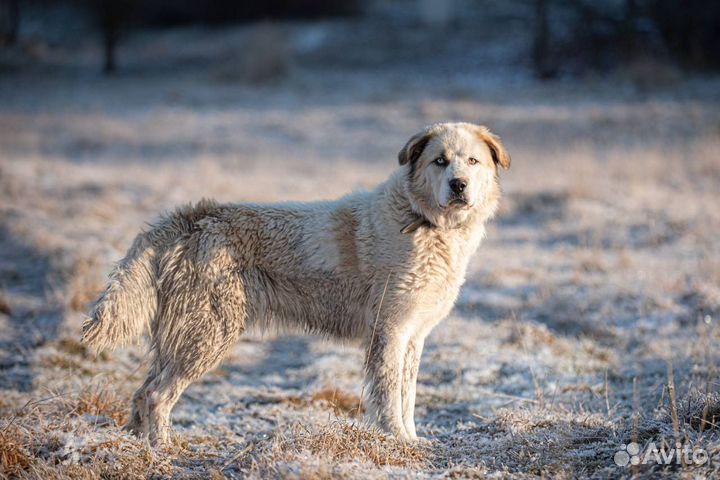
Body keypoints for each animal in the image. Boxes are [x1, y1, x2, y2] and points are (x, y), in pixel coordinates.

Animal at [83, 122, 512, 444]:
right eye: (440, 161)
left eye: (472, 161)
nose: (458, 184)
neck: (424, 221)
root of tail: (190, 218)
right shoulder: (390, 330)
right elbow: (390, 396)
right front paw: (398, 441)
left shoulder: (413, 335)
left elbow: (407, 395)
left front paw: (411, 438)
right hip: (208, 332)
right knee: (157, 396)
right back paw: (163, 448)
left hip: (182, 335)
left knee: (142, 392)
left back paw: (134, 443)